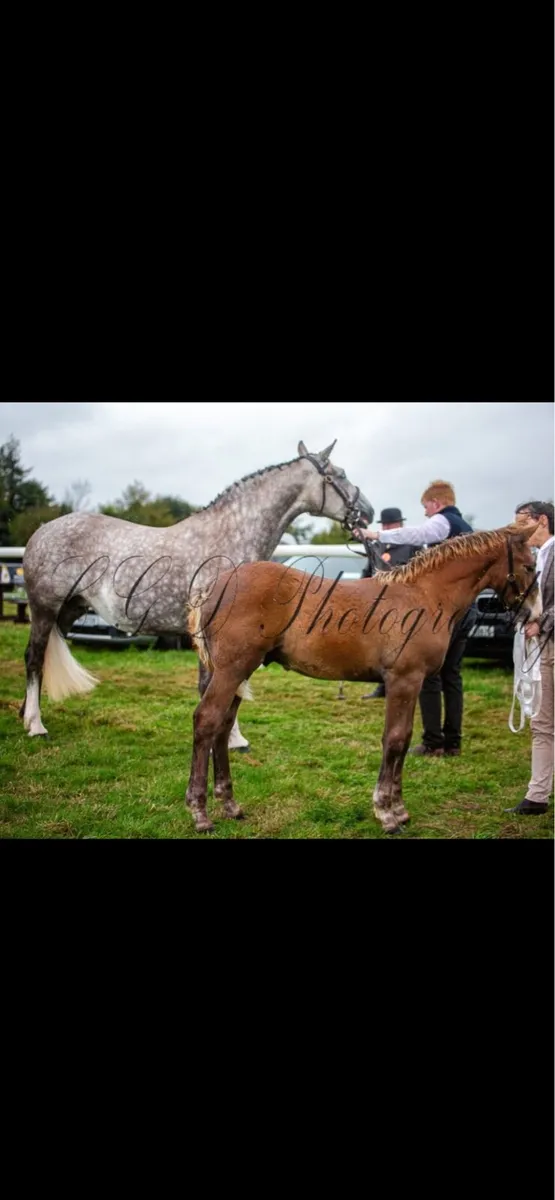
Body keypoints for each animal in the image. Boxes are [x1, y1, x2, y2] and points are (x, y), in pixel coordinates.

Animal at [20, 439, 373, 746]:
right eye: (340, 474)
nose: (367, 512)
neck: (229, 536)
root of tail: (42, 531)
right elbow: (218, 686)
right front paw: (232, 739)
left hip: (68, 610)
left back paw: (25, 714)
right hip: (44, 608)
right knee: (34, 657)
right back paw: (36, 725)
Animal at [185, 523, 540, 834]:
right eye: (529, 565)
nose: (535, 615)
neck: (423, 595)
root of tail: (215, 586)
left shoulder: (413, 684)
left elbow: (405, 738)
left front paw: (400, 809)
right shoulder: (403, 680)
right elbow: (394, 740)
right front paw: (387, 813)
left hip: (238, 673)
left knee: (223, 727)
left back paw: (230, 805)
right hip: (231, 671)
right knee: (207, 720)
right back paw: (200, 814)